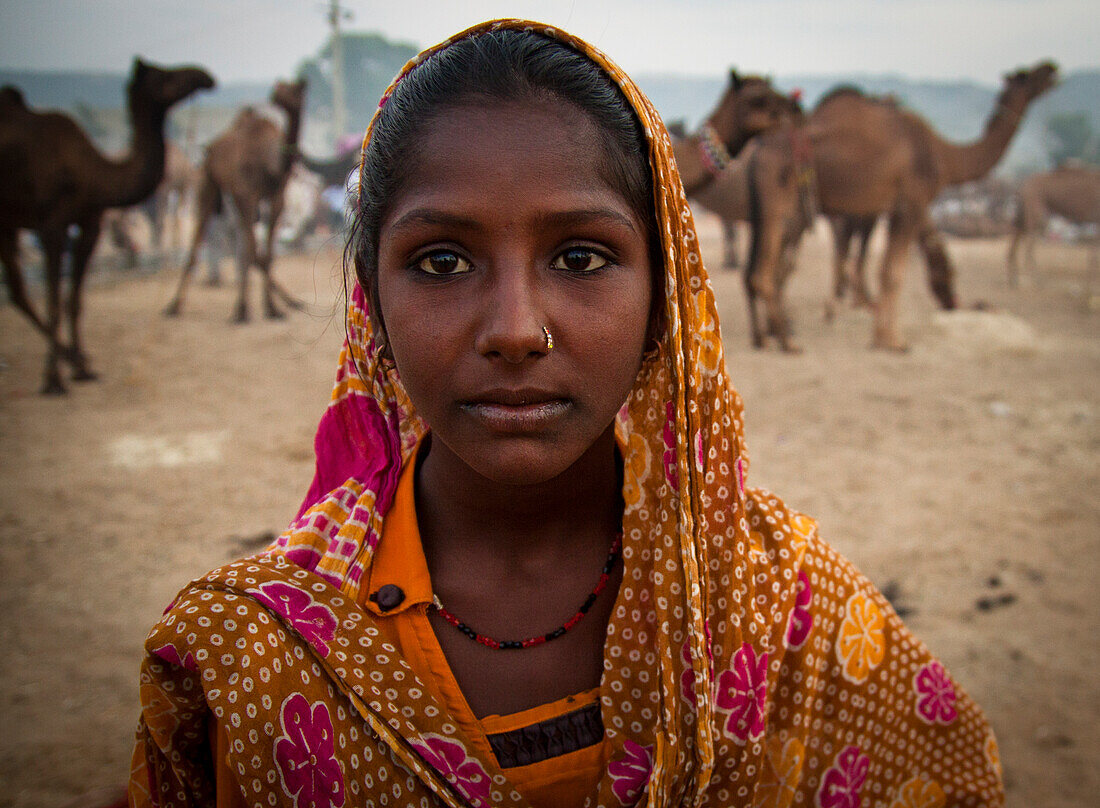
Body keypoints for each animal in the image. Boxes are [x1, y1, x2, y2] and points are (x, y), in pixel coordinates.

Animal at [0, 58, 213, 393]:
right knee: (20, 290)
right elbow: (56, 300)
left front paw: (81, 367)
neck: (93, 169)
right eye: (161, 75)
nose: (204, 76)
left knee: (19, 291)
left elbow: (74, 300)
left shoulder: (90, 223)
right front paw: (56, 378)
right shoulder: (52, 225)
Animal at [160, 79, 305, 323]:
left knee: (246, 246)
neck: (273, 164)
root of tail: (209, 148)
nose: (274, 95)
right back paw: (174, 306)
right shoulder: (246, 193)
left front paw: (275, 308)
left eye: (294, 90)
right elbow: (255, 253)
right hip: (208, 183)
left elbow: (266, 254)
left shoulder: (277, 197)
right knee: (200, 239)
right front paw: (258, 309)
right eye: (281, 88)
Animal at [748, 61, 1056, 351]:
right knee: (765, 273)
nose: (1051, 69)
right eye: (1026, 76)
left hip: (793, 208)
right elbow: (893, 273)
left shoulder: (888, 209)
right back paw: (786, 340)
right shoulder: (911, 202)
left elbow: (880, 266)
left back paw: (779, 330)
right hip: (778, 202)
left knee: (777, 268)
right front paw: (892, 341)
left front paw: (880, 333)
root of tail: (759, 147)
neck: (945, 155)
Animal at [1007, 162, 1100, 290]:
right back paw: (1037, 280)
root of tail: (1023, 186)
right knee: (1029, 245)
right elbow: (1094, 256)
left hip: (1024, 213)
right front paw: (1090, 286)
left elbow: (1093, 255)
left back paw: (1013, 279)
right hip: (1036, 211)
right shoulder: (1097, 219)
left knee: (1016, 237)